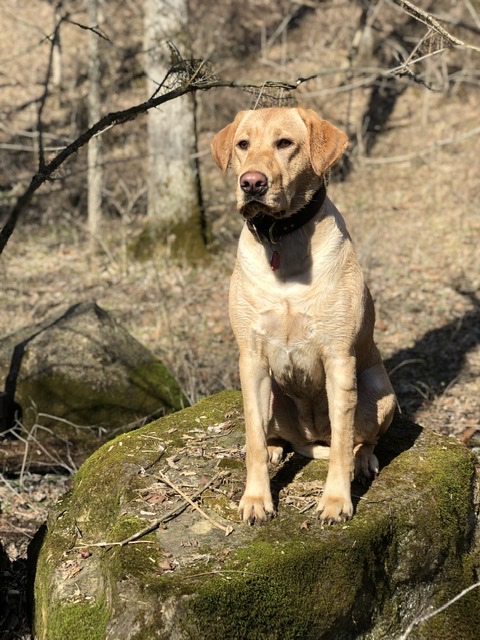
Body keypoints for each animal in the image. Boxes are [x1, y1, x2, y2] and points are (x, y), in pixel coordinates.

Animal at [212, 106, 396, 524]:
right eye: (243, 144)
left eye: (285, 143)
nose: (251, 183)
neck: (281, 238)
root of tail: (310, 436)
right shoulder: (251, 358)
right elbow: (252, 438)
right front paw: (256, 498)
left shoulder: (339, 358)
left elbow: (343, 443)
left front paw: (335, 500)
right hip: (273, 398)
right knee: (271, 434)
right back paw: (276, 447)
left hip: (378, 392)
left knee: (361, 440)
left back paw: (362, 462)